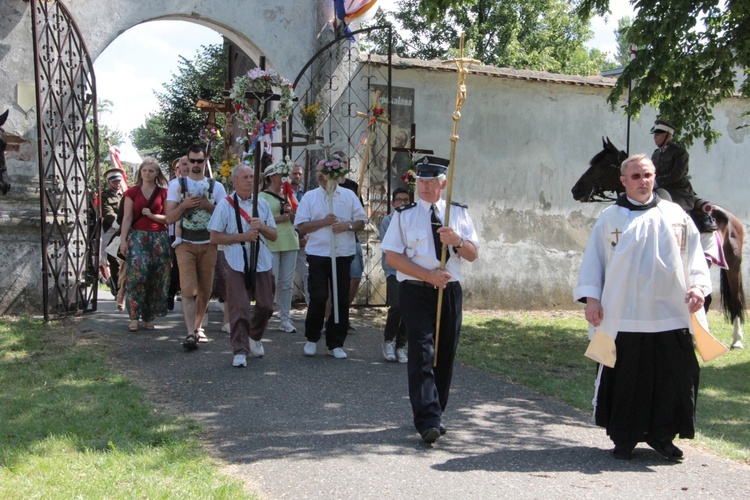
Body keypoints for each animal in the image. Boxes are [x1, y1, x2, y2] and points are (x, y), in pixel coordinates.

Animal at [576, 137, 748, 348]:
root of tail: (730, 217)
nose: (576, 190)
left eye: (604, 164)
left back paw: (736, 340)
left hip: (733, 264)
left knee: (736, 299)